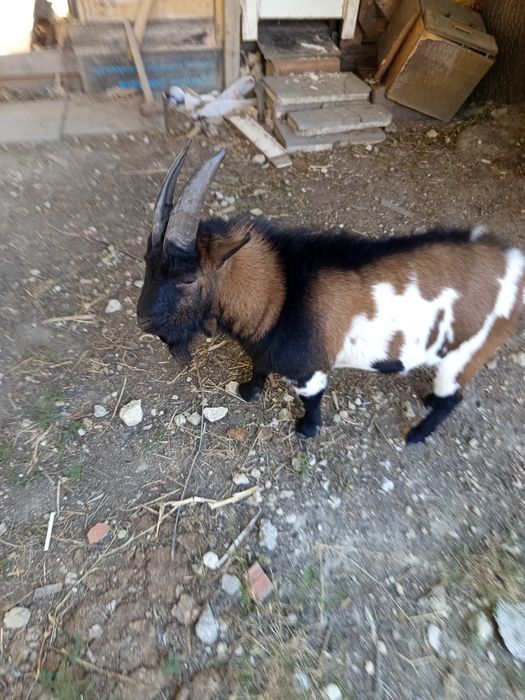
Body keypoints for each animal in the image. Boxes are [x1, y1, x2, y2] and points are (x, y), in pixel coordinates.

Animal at [137, 144, 525, 444]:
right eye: (147, 262)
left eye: (187, 278)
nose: (142, 320)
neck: (281, 291)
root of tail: (514, 267)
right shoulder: (264, 347)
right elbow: (259, 365)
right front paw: (249, 391)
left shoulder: (310, 370)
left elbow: (311, 400)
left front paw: (307, 429)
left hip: (467, 353)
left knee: (453, 398)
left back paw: (418, 433)